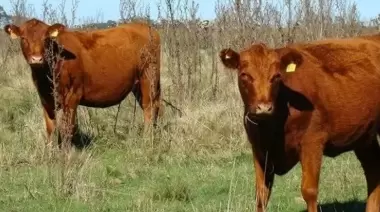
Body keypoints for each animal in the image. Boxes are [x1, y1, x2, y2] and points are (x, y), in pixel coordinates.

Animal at [218, 37, 380, 211]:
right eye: (245, 75)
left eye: (276, 76)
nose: (264, 108)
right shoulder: (259, 149)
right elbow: (261, 194)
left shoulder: (312, 142)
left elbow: (309, 191)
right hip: (364, 136)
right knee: (373, 171)